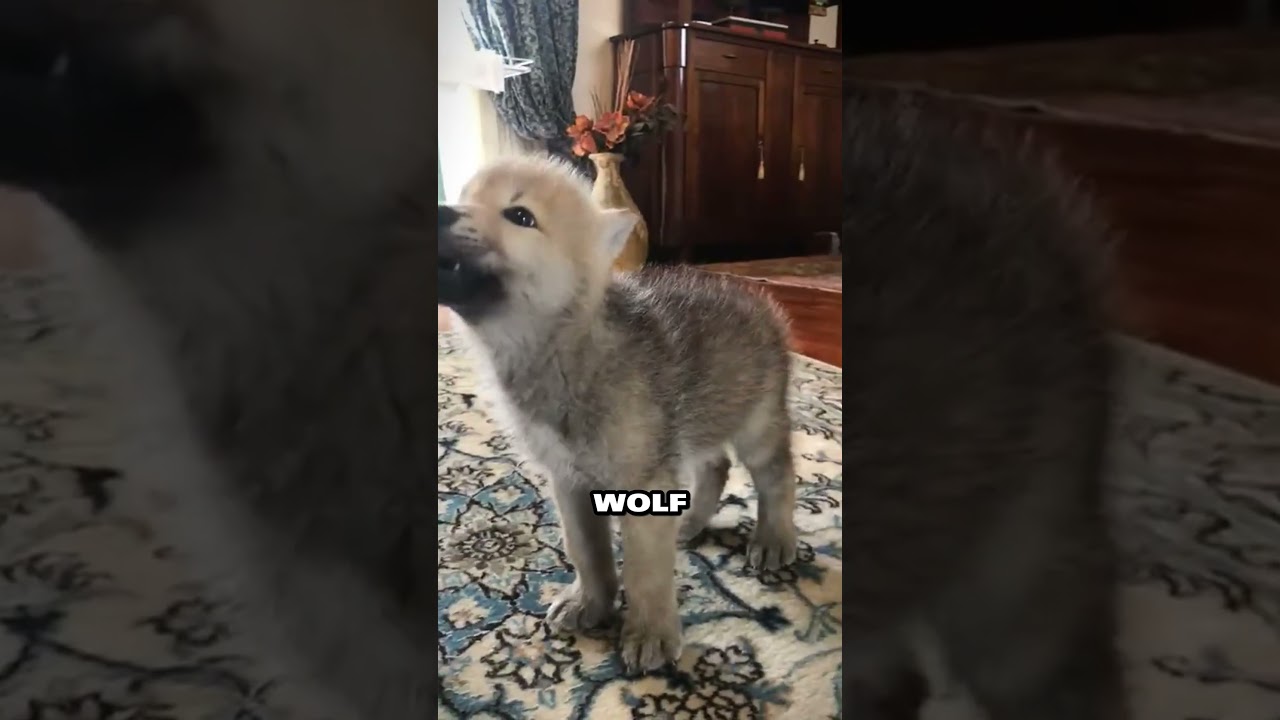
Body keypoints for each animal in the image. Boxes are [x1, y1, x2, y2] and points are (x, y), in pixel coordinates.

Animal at [437, 155, 800, 672]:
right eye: (464, 196)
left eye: (520, 216)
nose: (439, 213)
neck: (563, 349)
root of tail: (755, 295)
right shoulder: (570, 481)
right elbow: (587, 553)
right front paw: (590, 603)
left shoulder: (643, 481)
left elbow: (646, 569)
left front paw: (649, 633)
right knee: (715, 466)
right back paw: (690, 523)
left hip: (755, 420)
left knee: (776, 475)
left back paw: (773, 537)